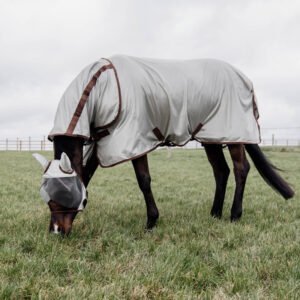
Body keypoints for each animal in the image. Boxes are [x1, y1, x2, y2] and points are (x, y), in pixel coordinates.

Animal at [32, 55, 292, 236]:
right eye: (46, 194)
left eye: (66, 193)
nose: (56, 231)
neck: (105, 87)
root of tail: (244, 78)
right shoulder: (103, 141)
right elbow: (85, 175)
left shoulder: (133, 139)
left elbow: (143, 181)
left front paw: (151, 222)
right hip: (211, 137)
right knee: (221, 171)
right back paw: (215, 214)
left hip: (233, 134)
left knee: (240, 169)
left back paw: (234, 215)